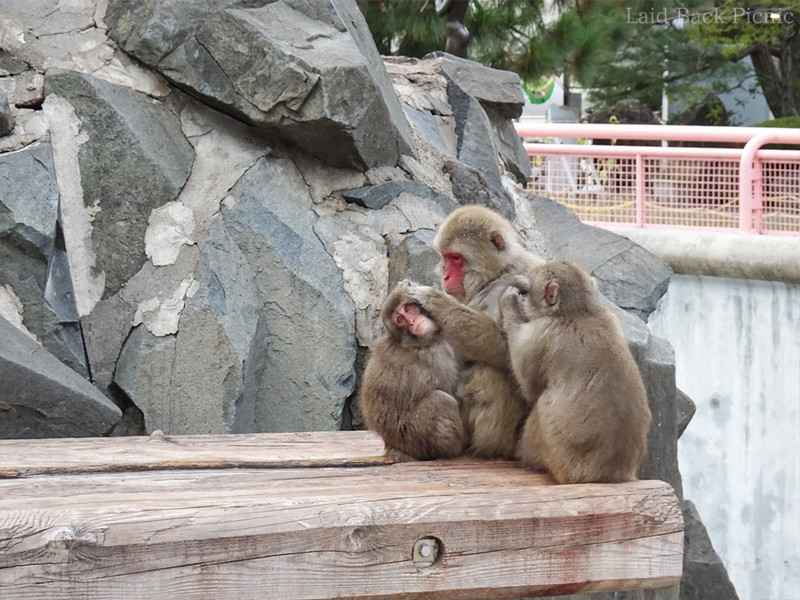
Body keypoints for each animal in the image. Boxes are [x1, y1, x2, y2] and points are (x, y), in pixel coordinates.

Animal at [360, 284, 465, 462]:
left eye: (408, 309)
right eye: (400, 320)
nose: (412, 322)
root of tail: (393, 447)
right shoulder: (438, 355)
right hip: (416, 438)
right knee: (440, 400)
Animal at [403, 205, 545, 459]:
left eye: (457, 258)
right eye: (446, 257)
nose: (446, 277)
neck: (496, 275)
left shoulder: (526, 284)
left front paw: (434, 300)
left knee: (491, 371)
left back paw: (489, 447)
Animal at [498, 261, 652, 484]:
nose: (524, 292)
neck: (579, 311)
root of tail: (613, 473)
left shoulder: (542, 335)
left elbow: (529, 386)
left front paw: (510, 303)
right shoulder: (611, 317)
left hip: (559, 457)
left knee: (542, 403)